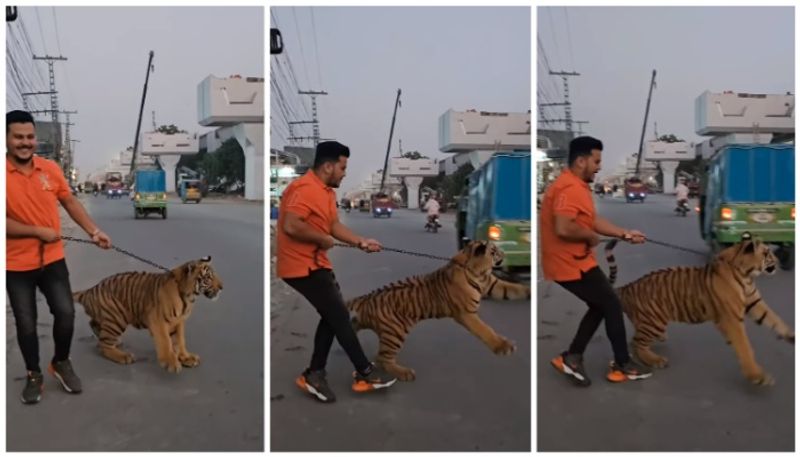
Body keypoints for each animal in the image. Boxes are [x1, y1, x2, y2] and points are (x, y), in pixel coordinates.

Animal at [72, 255, 223, 372]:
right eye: (208, 278)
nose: (222, 287)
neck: (189, 297)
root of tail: (89, 290)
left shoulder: (178, 321)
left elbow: (180, 341)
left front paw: (186, 358)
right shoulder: (159, 321)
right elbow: (166, 341)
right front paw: (171, 363)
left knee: (94, 325)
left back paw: (115, 342)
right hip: (117, 318)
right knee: (104, 345)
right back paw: (123, 356)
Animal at [346, 239, 528, 382]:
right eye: (494, 251)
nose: (505, 254)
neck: (479, 273)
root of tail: (367, 297)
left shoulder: (494, 285)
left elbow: (515, 289)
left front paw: (529, 291)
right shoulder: (466, 313)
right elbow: (485, 330)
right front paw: (504, 347)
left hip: (375, 325)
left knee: (360, 333)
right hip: (395, 332)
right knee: (384, 358)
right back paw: (404, 373)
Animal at [608, 232, 792, 384]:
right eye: (767, 253)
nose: (778, 261)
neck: (747, 275)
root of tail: (626, 287)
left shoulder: (755, 302)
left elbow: (774, 318)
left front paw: (791, 336)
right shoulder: (733, 318)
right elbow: (745, 347)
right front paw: (757, 376)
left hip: (650, 322)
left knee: (636, 340)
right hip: (654, 322)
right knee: (637, 343)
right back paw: (656, 360)